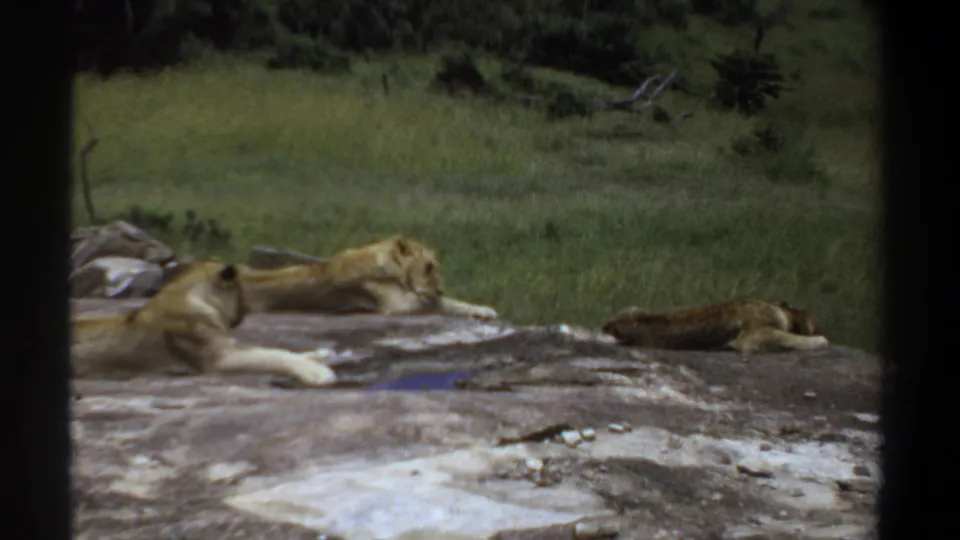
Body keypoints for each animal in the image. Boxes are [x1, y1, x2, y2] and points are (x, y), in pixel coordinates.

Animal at [71, 259, 337, 386]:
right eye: (242, 287)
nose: (244, 313)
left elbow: (274, 349)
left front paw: (320, 354)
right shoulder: (220, 359)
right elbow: (272, 355)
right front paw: (317, 372)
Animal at [238, 235, 499, 319]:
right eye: (428, 267)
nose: (440, 288)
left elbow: (452, 302)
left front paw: (484, 310)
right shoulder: (398, 304)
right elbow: (442, 303)